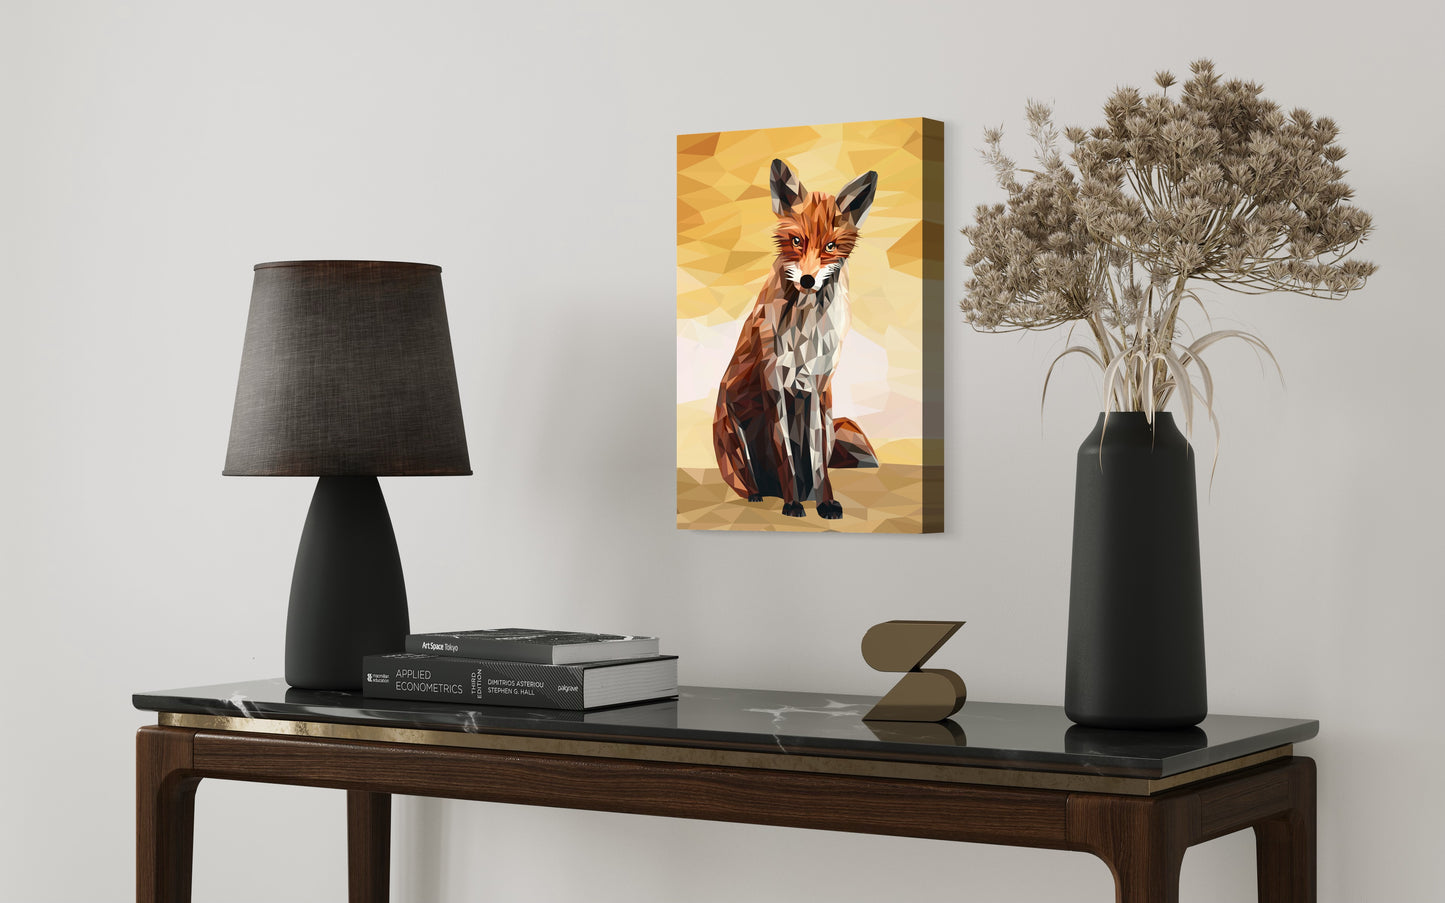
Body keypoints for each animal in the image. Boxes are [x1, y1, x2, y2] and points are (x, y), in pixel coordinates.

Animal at [712, 159, 879, 520]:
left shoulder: (818, 387)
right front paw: (792, 504)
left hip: (828, 421)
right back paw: (764, 495)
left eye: (830, 246)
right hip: (735, 438)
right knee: (753, 481)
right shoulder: (773, 383)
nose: (806, 280)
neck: (805, 331)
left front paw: (826, 502)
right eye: (797, 241)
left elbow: (818, 462)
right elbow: (785, 455)